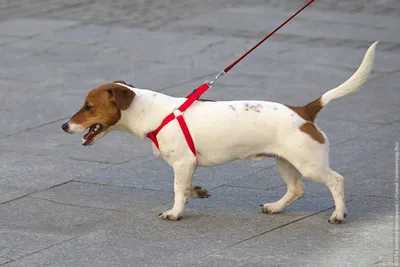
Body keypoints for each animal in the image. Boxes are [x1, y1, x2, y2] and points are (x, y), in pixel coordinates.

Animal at [62, 41, 378, 224]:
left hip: (309, 163)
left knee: (336, 181)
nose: (64, 126)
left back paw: (338, 214)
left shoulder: (183, 163)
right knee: (296, 189)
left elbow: (177, 189)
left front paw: (175, 212)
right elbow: (186, 187)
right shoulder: (188, 166)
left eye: (88, 106)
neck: (154, 113)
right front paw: (197, 192)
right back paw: (275, 208)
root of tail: (304, 111)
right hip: (285, 161)